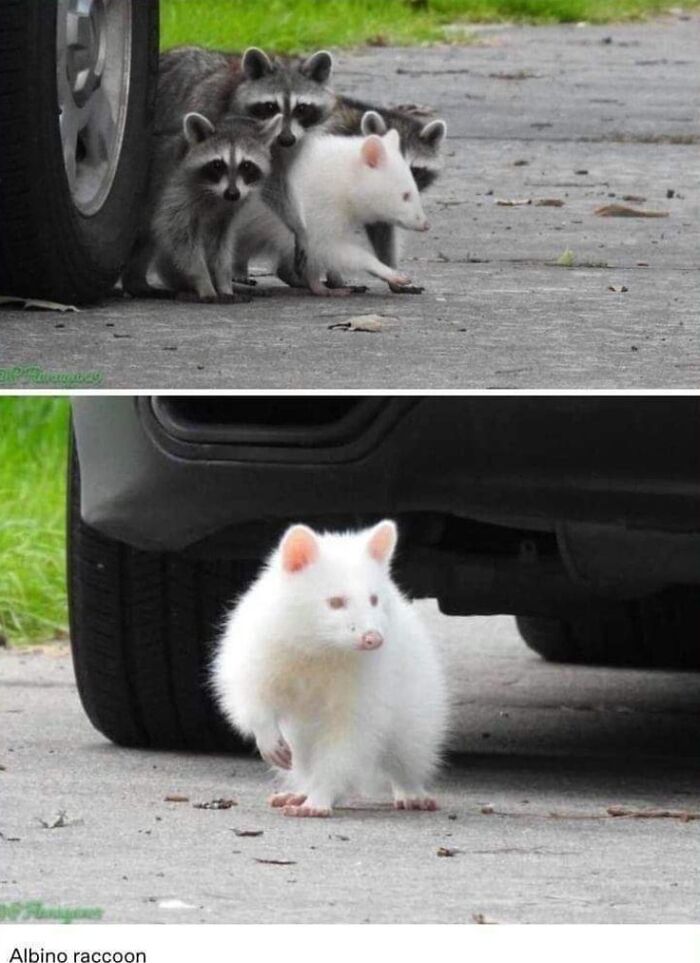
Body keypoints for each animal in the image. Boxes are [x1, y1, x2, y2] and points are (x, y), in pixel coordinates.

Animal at [123, 112, 280, 301]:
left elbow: (221, 245)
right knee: (146, 239)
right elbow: (180, 237)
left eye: (247, 165)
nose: (232, 194)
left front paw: (224, 283)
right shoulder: (176, 192)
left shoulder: (229, 210)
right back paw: (137, 283)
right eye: (217, 165)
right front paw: (204, 282)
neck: (216, 194)